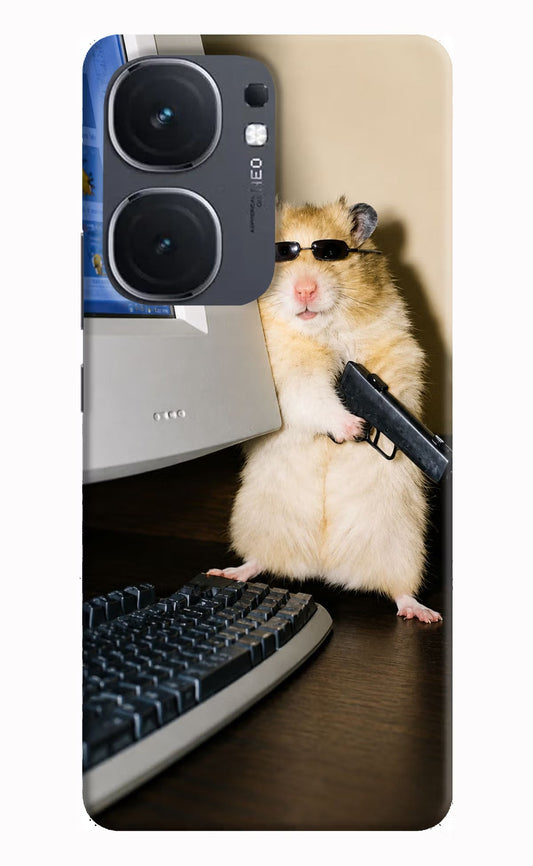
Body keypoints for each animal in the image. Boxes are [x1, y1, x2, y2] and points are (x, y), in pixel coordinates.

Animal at [208, 198, 442, 623]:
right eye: (279, 254)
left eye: (331, 253)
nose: (305, 289)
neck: (322, 330)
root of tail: (325, 567)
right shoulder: (288, 379)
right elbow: (314, 398)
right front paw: (353, 428)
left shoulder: (397, 350)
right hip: (257, 522)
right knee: (258, 561)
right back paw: (228, 571)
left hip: (403, 545)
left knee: (399, 589)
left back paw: (423, 613)